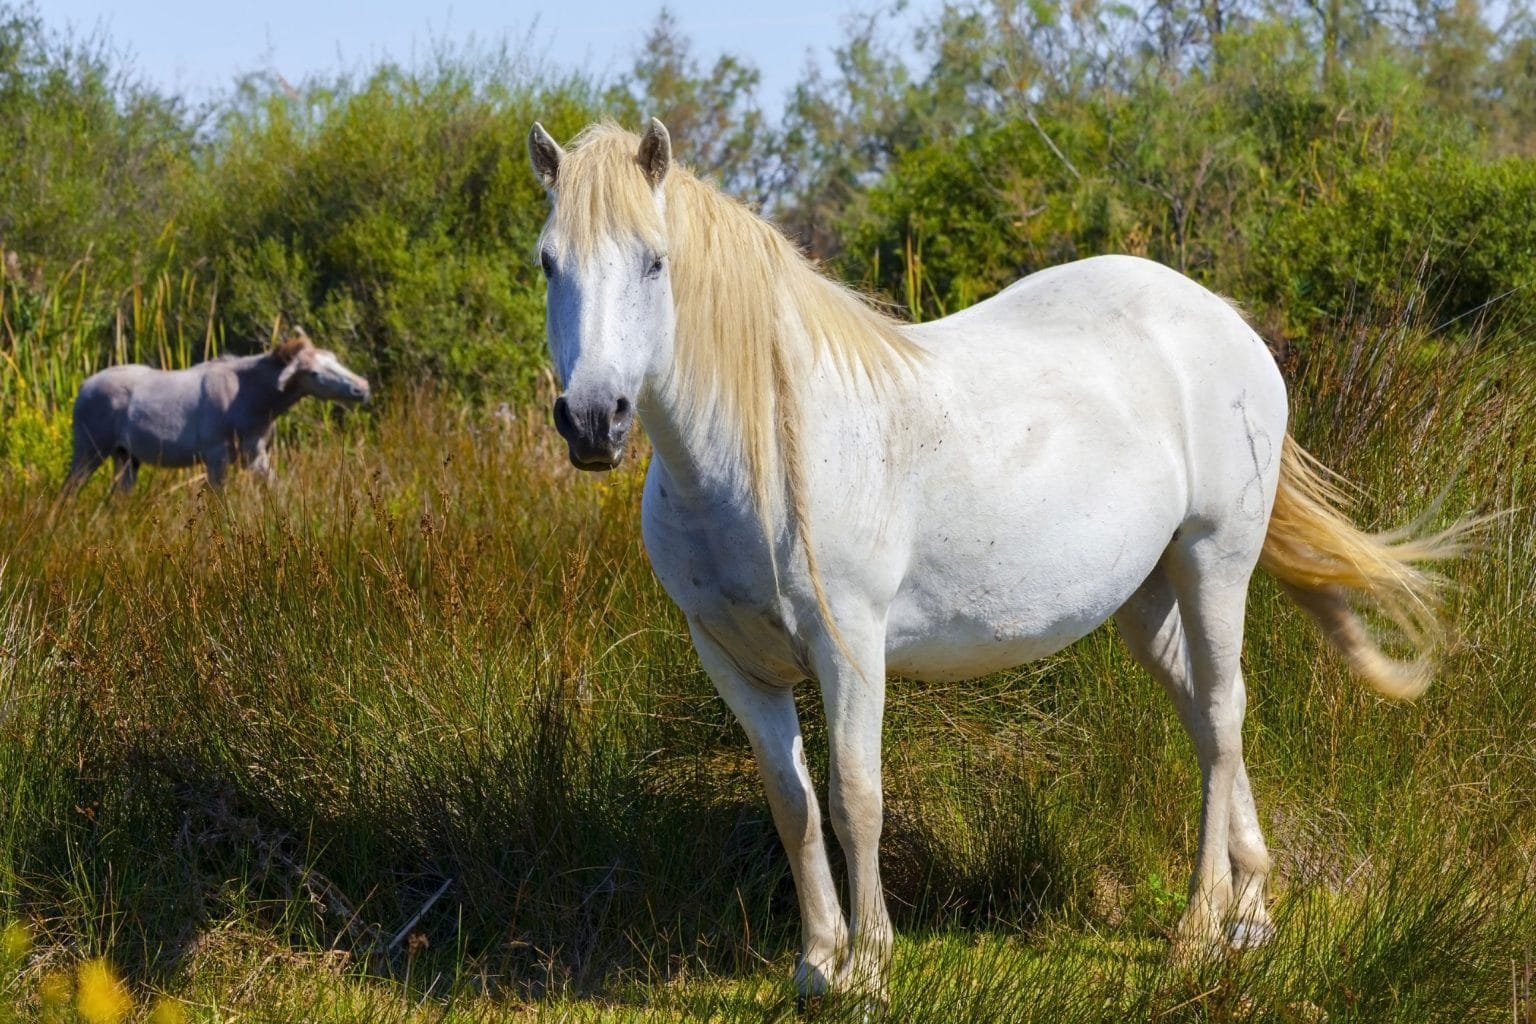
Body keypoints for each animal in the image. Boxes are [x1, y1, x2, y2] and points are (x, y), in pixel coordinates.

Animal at [64, 327, 369, 494]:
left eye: (334, 359)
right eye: (314, 373)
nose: (362, 388)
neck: (256, 401)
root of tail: (81, 389)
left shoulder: (255, 456)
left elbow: (277, 488)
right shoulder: (216, 455)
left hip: (125, 455)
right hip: (89, 449)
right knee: (68, 491)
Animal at [527, 119, 1464, 1002]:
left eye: (654, 262)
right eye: (548, 263)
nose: (593, 420)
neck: (756, 455)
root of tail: (1226, 322)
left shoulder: (850, 651)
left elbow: (856, 801)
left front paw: (870, 969)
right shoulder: (733, 662)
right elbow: (793, 808)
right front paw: (817, 965)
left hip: (1214, 564)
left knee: (1223, 720)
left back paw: (1198, 930)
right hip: (1145, 596)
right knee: (1210, 720)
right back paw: (1252, 913)